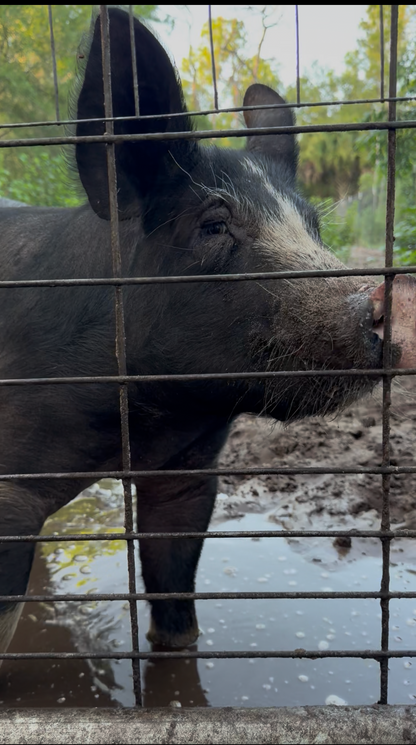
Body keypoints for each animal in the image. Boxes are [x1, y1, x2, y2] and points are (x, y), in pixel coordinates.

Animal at [0, 8, 389, 655]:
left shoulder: (189, 472)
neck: (138, 428)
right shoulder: (11, 492)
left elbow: (175, 588)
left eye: (312, 226)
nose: (385, 300)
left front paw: (180, 650)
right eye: (213, 225)